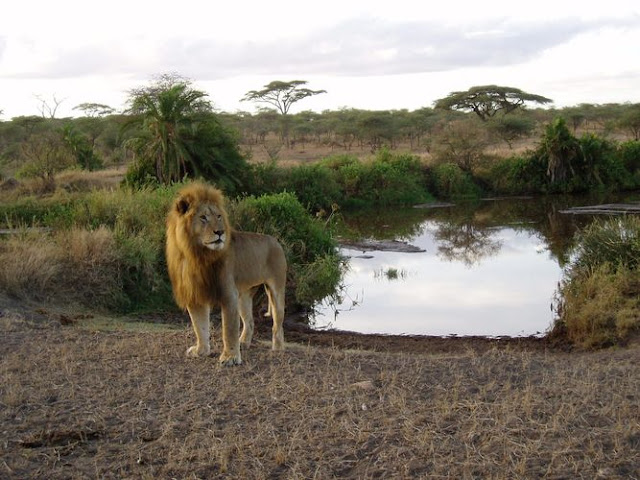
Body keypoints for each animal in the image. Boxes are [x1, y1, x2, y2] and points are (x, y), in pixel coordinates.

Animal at [166, 182, 286, 366]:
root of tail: (276, 241)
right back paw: (243, 343)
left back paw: (277, 348)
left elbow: (228, 330)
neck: (197, 255)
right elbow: (199, 326)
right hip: (244, 295)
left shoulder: (229, 294)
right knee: (250, 322)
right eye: (203, 217)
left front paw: (230, 357)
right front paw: (201, 350)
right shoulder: (194, 294)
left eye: (219, 216)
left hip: (276, 290)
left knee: (278, 324)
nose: (220, 232)